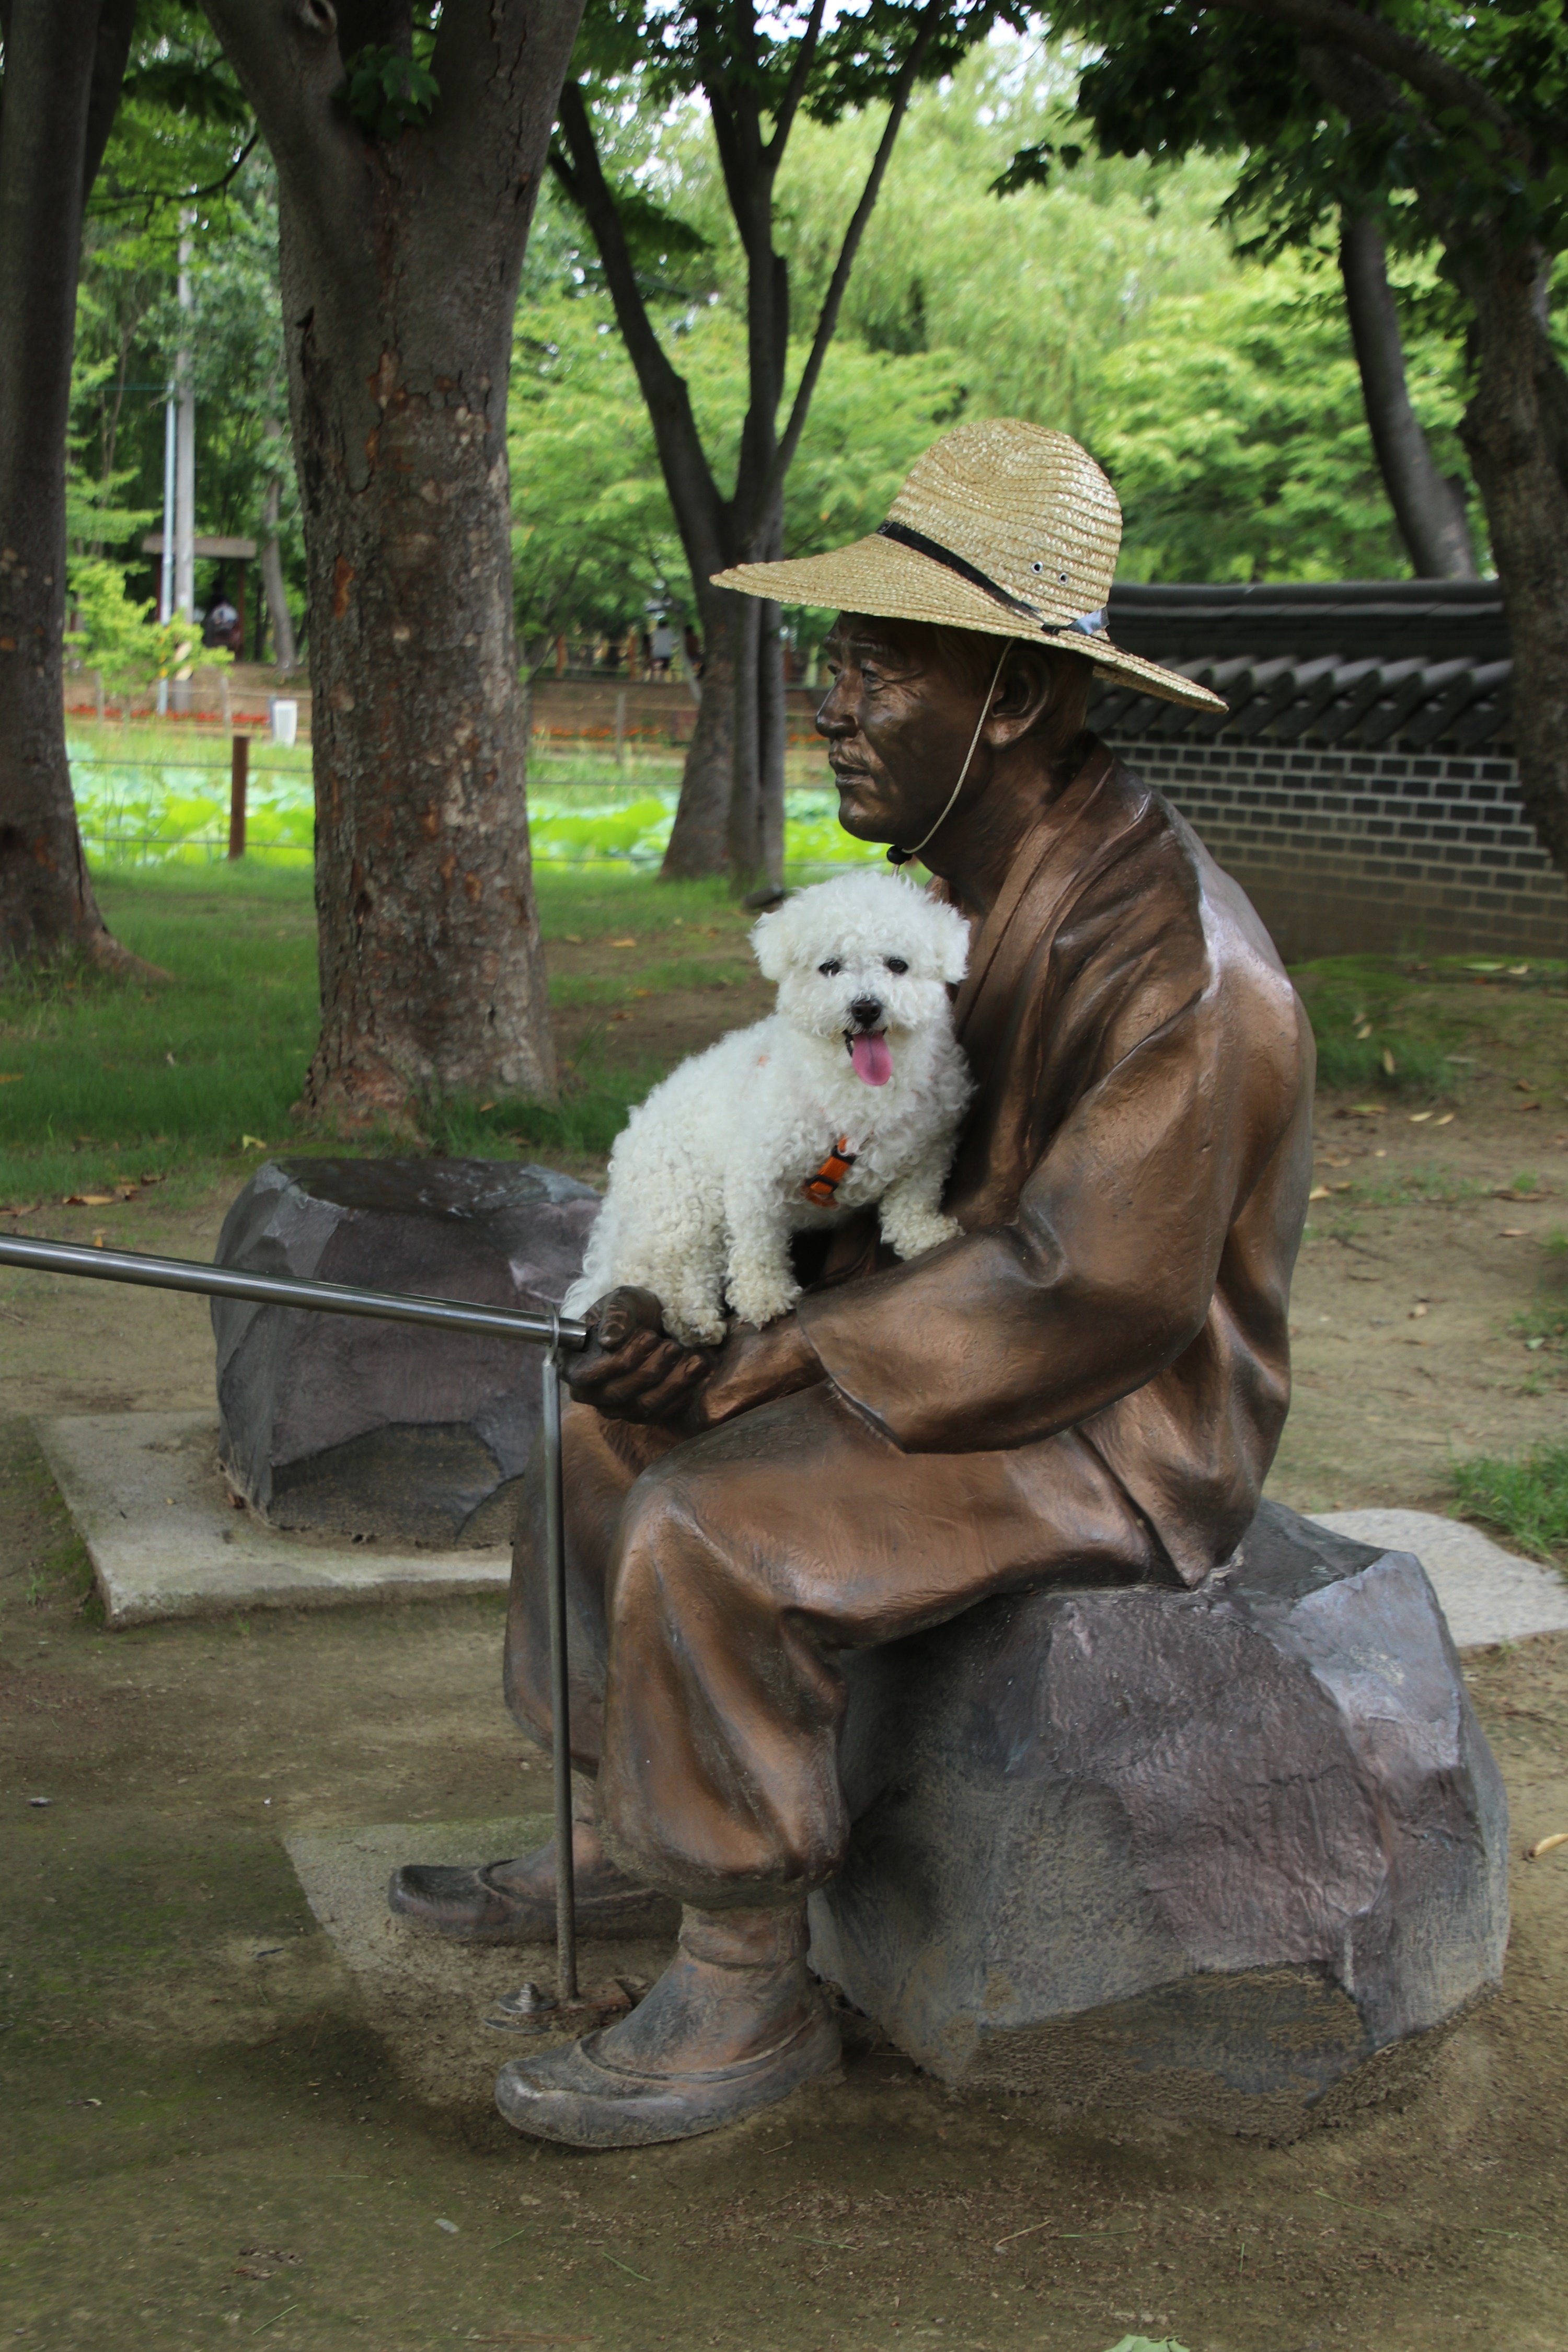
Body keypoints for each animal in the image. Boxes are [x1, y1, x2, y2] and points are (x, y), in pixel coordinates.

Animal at [564, 870, 973, 1347]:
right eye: (830, 967)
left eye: (898, 964)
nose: (866, 1007)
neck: (859, 1096)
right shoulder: (756, 1175)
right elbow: (758, 1244)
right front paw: (764, 1297)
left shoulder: (933, 1144)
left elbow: (914, 1199)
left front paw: (924, 1235)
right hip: (685, 1205)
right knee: (658, 1271)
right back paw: (690, 1319)